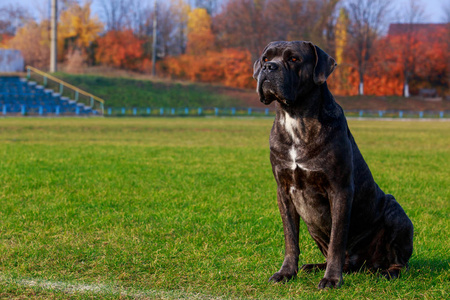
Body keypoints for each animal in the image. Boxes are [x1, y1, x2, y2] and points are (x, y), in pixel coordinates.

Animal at [251, 41, 414, 290]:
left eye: (294, 59)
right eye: (265, 58)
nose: (269, 67)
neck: (296, 117)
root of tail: (364, 264)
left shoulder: (339, 190)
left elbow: (337, 239)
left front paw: (332, 279)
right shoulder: (284, 191)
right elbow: (291, 239)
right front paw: (287, 273)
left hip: (396, 212)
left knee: (399, 261)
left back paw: (388, 272)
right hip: (314, 228)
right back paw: (314, 266)